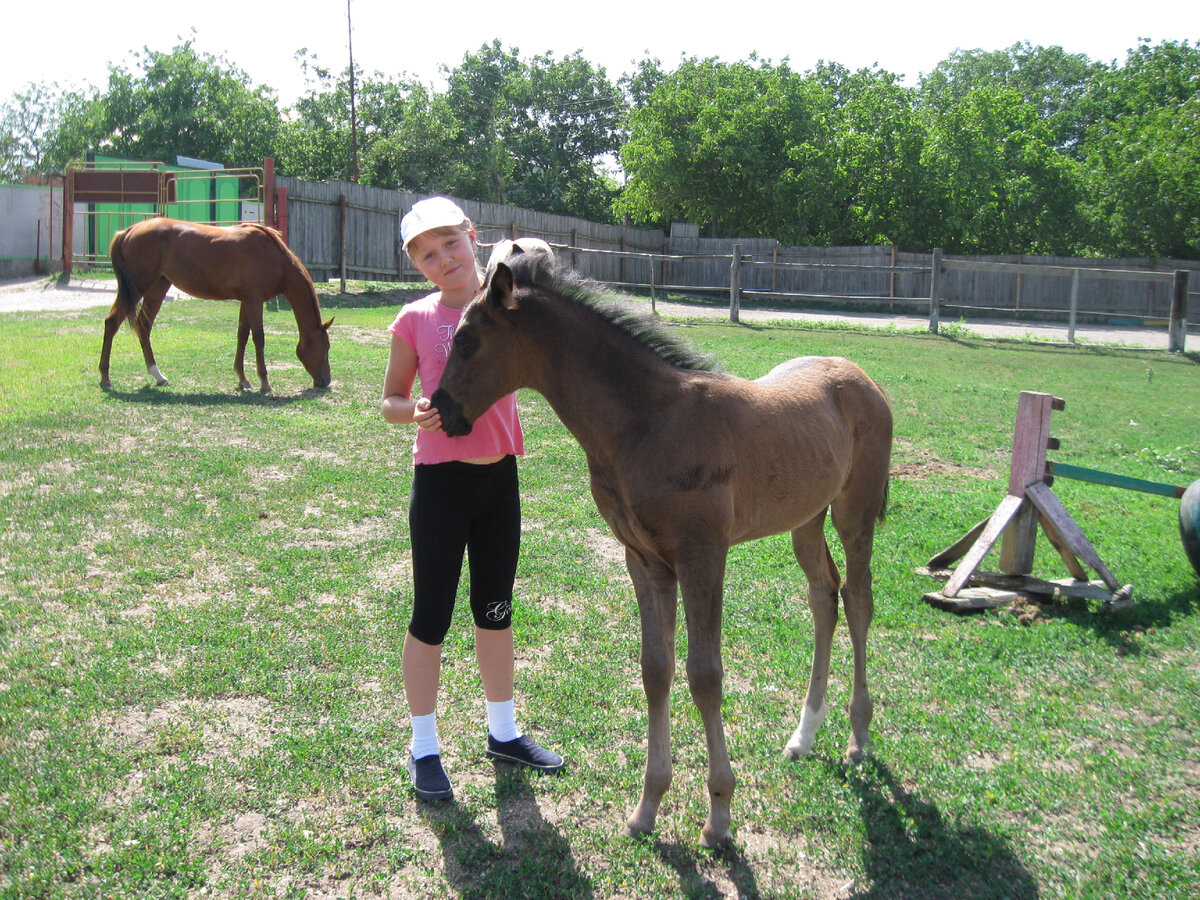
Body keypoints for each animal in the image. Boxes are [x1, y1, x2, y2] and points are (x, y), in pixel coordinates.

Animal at [97, 218, 331, 391]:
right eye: (326, 346)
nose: (326, 381)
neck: (273, 255)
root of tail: (127, 231)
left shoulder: (247, 300)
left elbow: (242, 335)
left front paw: (243, 379)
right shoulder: (254, 300)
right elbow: (259, 338)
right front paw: (265, 383)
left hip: (157, 289)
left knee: (143, 327)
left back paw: (158, 376)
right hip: (138, 288)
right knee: (112, 323)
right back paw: (105, 377)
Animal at [432, 243, 892, 849]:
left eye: (467, 340)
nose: (440, 409)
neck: (647, 421)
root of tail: (862, 377)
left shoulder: (703, 555)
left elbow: (705, 674)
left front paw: (719, 815)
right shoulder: (644, 560)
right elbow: (657, 670)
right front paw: (647, 807)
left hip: (852, 514)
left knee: (858, 601)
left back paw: (858, 738)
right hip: (805, 520)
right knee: (825, 597)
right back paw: (804, 735)